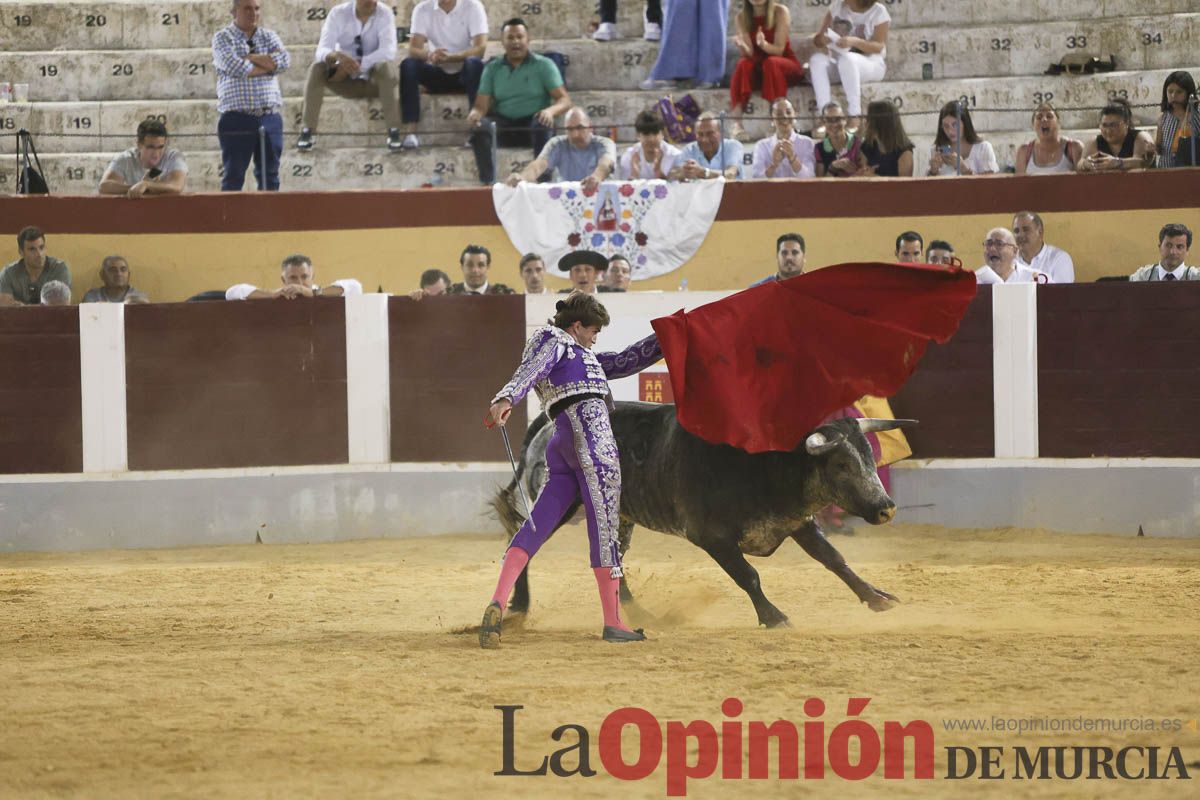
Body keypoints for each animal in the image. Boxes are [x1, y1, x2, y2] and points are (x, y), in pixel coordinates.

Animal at [492, 402, 912, 628]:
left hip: (618, 515)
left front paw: (877, 598)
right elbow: (749, 575)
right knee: (524, 540)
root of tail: (550, 423)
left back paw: (639, 613)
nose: (886, 508)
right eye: (841, 464)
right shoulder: (711, 537)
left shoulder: (797, 522)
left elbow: (835, 560)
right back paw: (518, 607)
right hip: (561, 501)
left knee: (613, 561)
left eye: (870, 455)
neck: (763, 462)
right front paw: (774, 617)